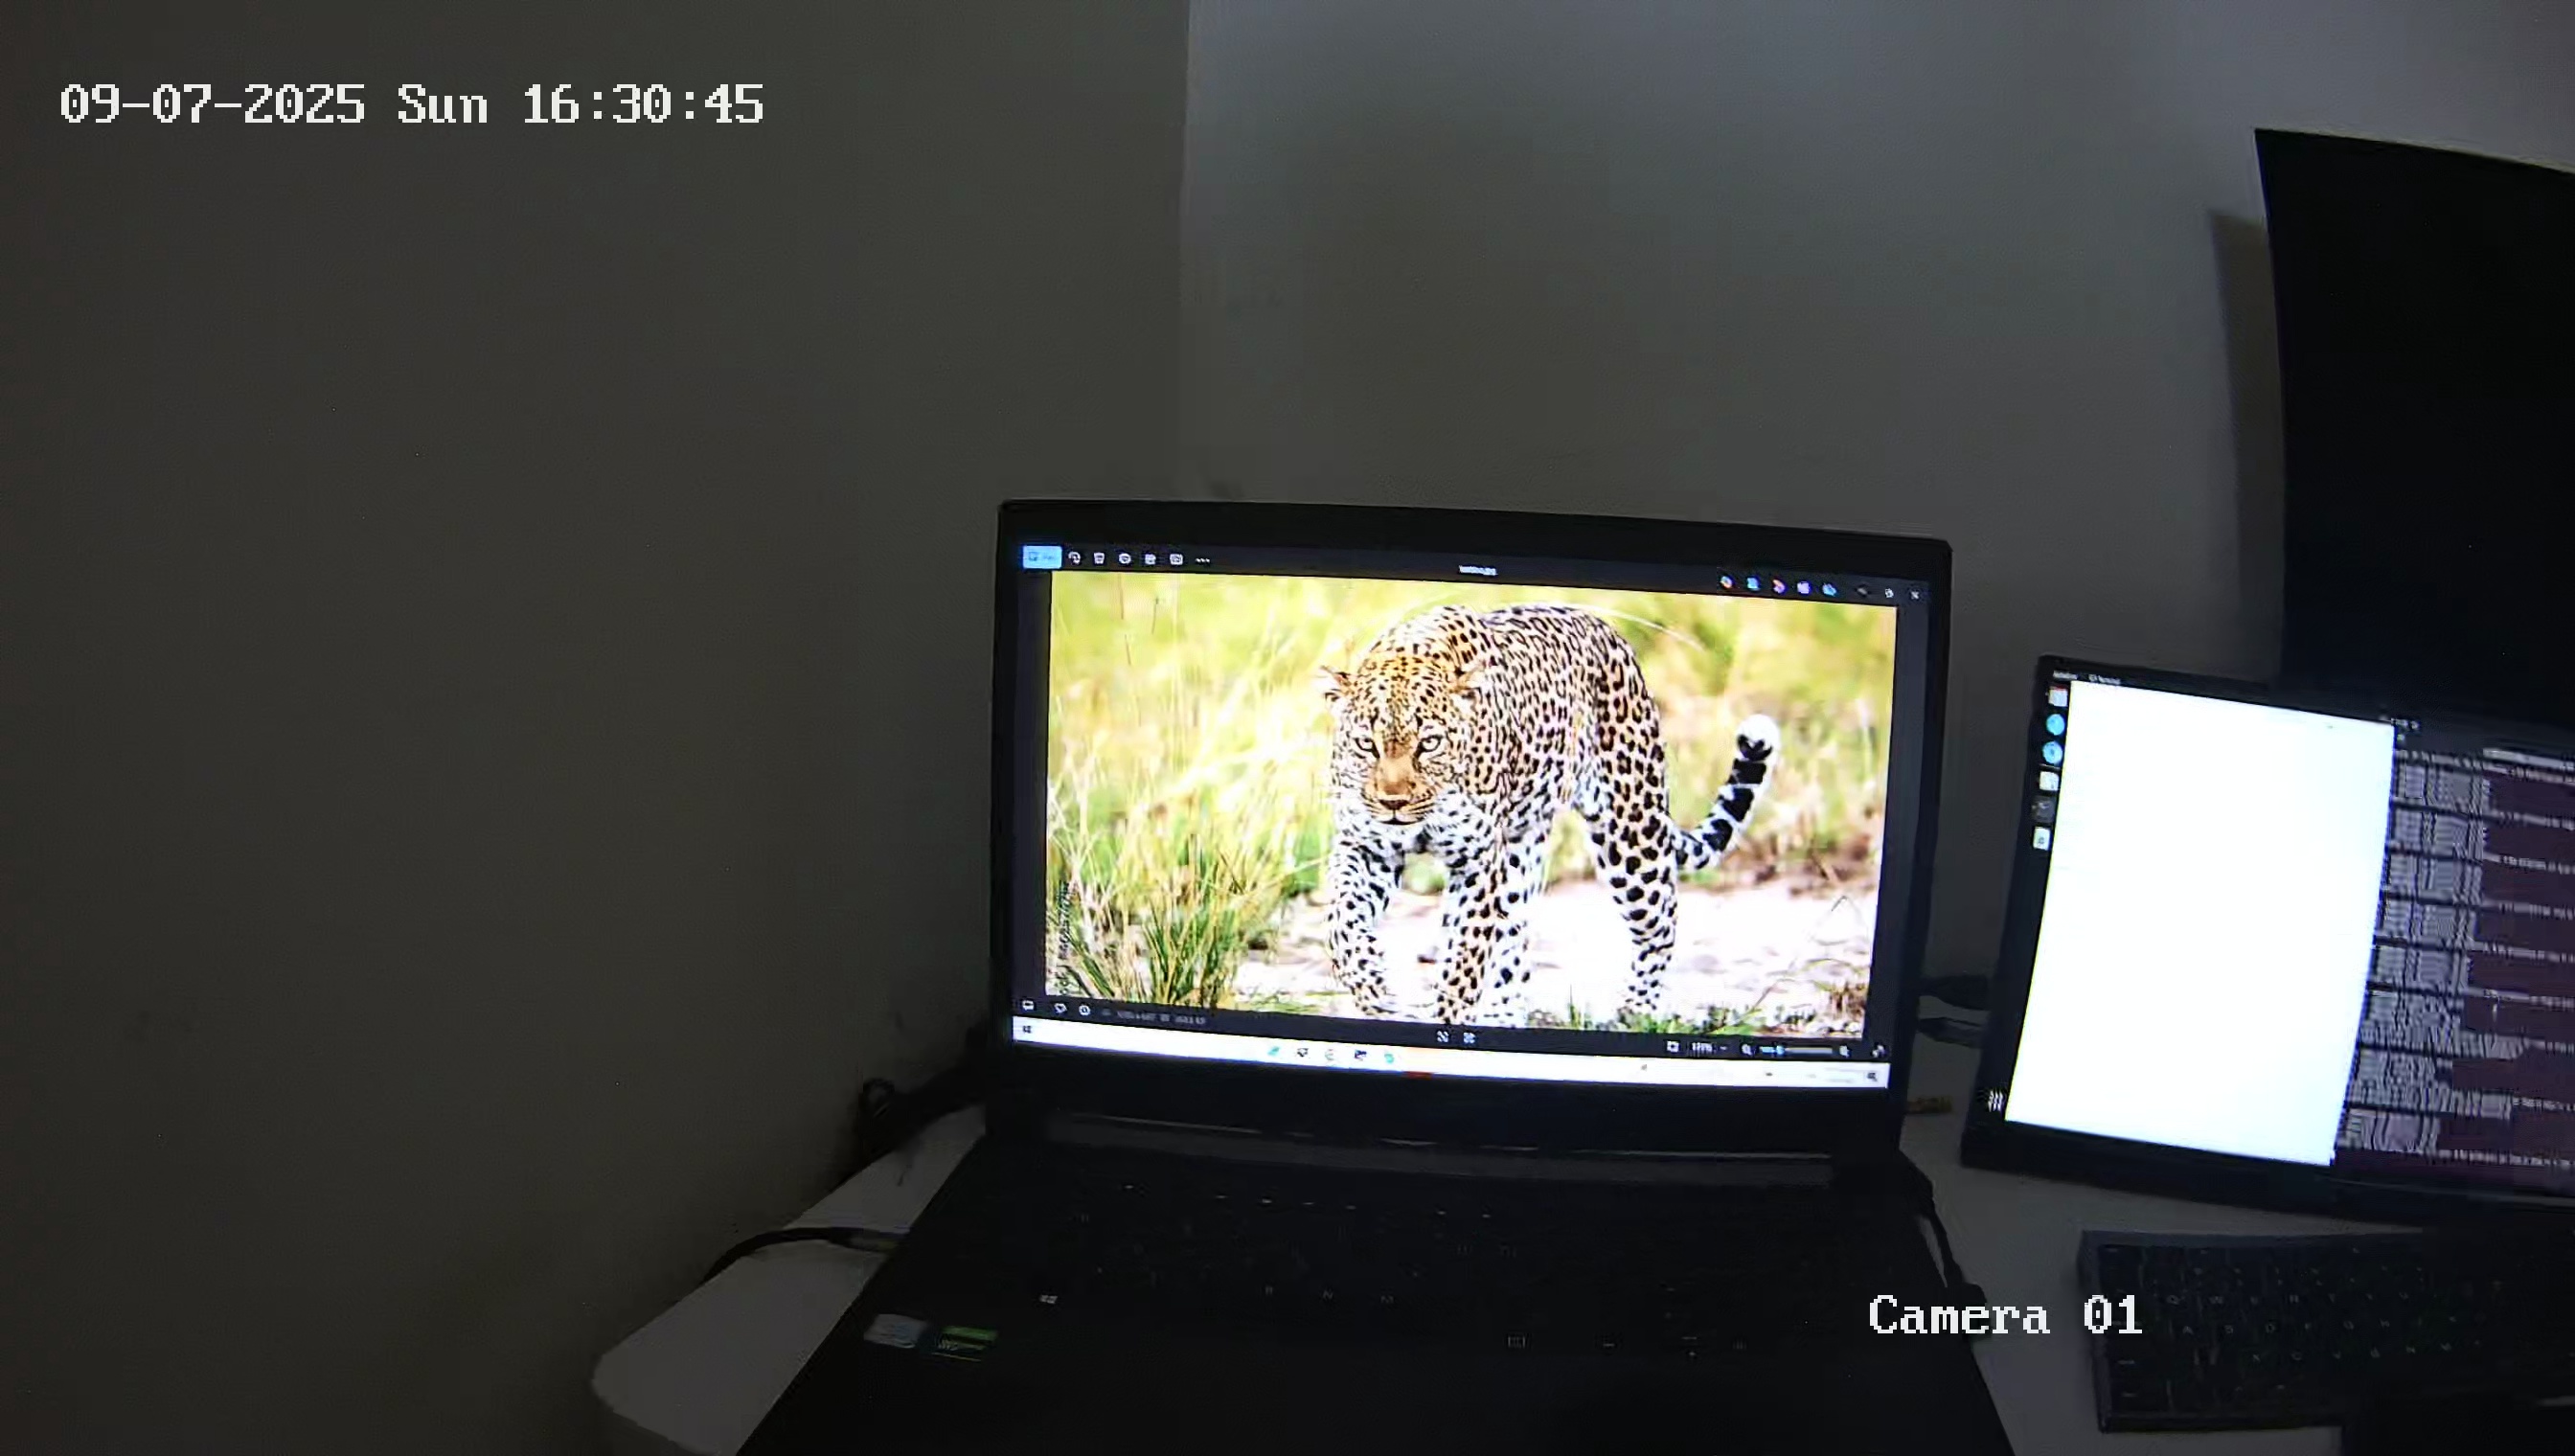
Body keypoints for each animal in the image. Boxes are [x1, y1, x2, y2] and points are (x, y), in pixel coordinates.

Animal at [1316, 603, 1778, 1027]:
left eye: (1429, 743)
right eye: (1366, 744)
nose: (1393, 802)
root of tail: (1608, 631)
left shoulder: (1478, 862)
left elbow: (1464, 961)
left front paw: (1447, 1018)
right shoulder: (1366, 849)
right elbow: (1342, 923)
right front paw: (1375, 990)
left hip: (1629, 834)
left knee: (1660, 923)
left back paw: (1637, 1010)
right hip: (1524, 851)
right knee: (1515, 937)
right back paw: (1504, 1015)